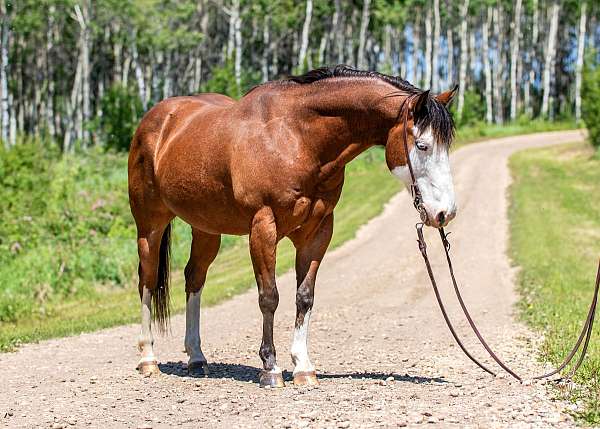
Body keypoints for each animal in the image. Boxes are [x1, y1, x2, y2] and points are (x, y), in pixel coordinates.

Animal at [125, 64, 454, 388]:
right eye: (422, 146)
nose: (445, 213)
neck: (297, 138)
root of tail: (157, 120)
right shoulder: (263, 227)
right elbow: (269, 297)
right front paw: (270, 368)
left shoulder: (318, 231)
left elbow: (304, 297)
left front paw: (303, 367)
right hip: (150, 225)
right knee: (148, 280)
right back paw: (148, 359)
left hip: (206, 229)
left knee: (194, 278)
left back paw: (196, 358)